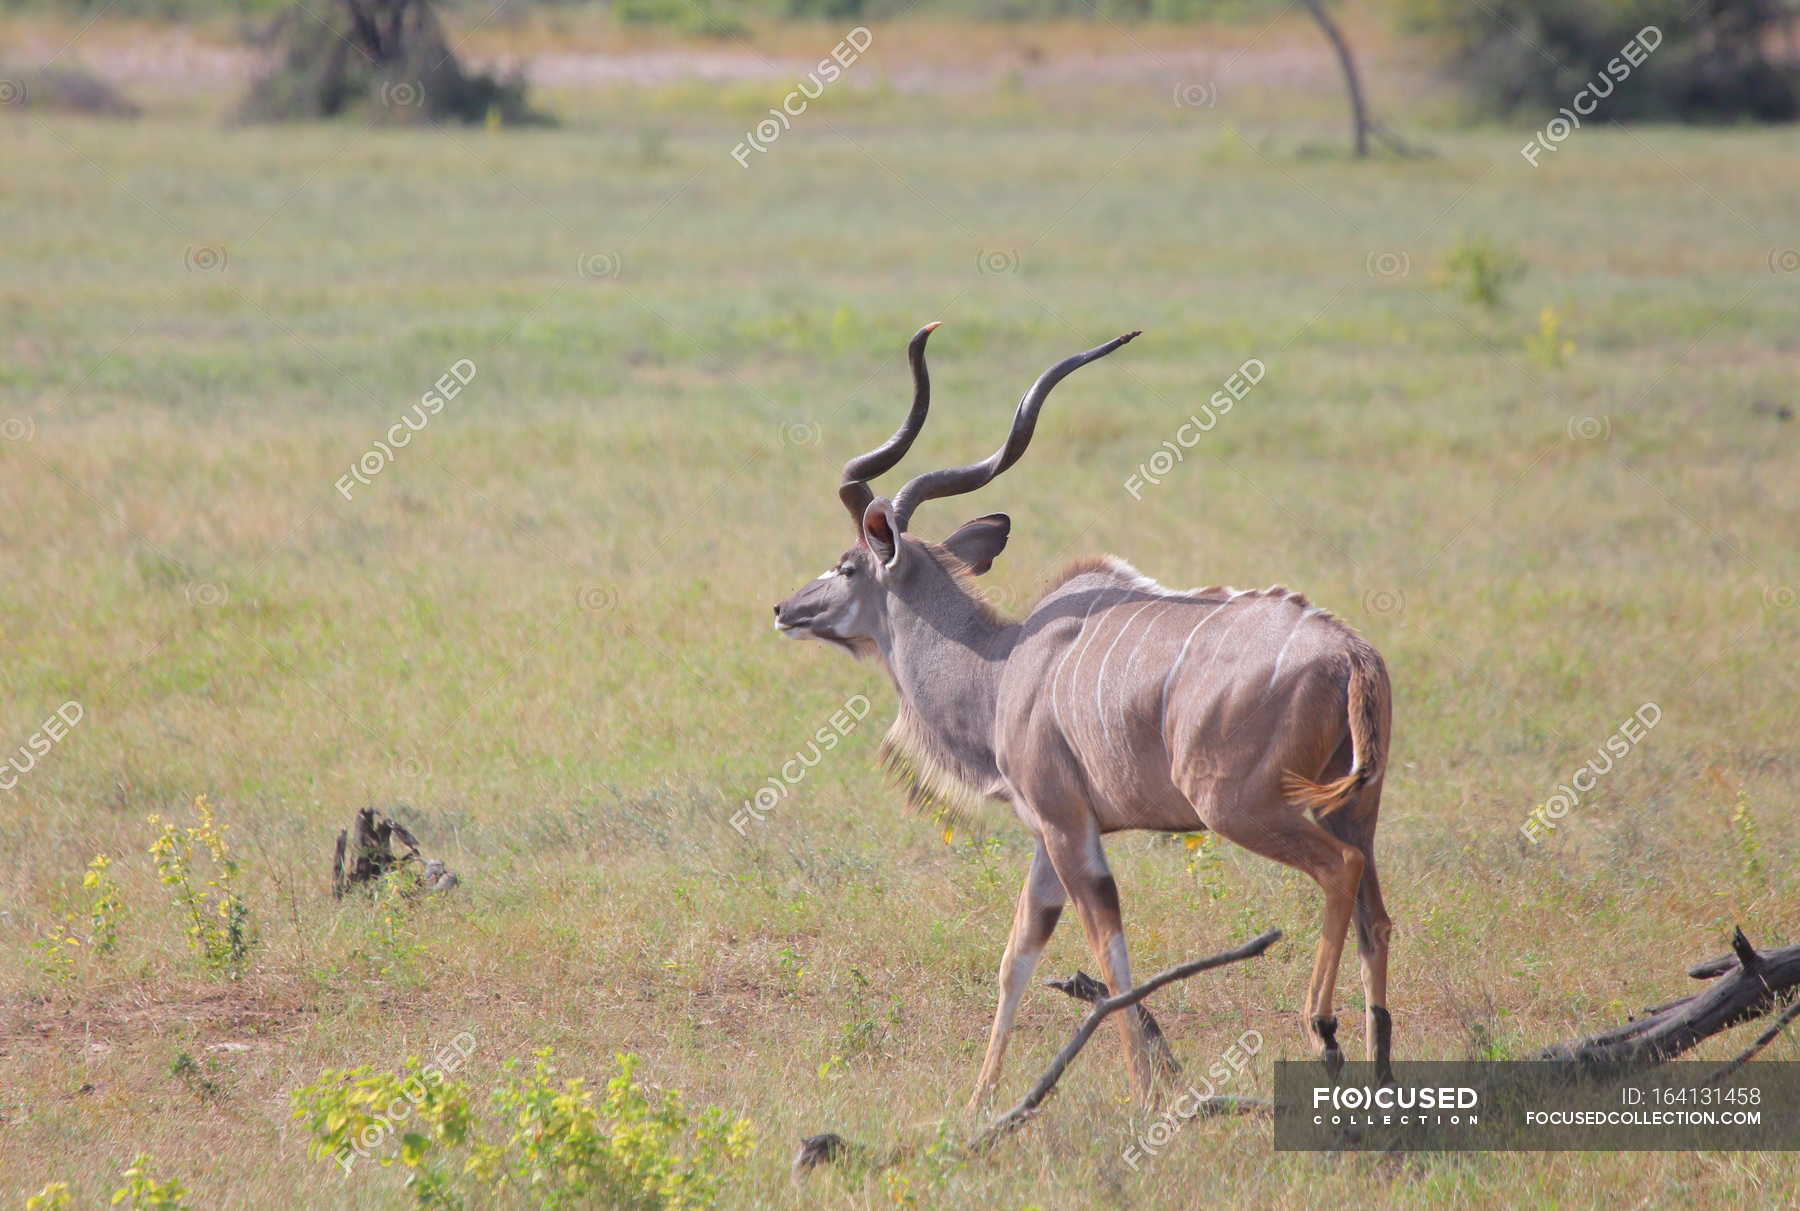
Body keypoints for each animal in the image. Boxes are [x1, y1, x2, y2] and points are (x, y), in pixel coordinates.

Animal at [774, 325, 1389, 1101]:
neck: (1002, 667)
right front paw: (980, 1101)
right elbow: (1017, 956)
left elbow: (1108, 951)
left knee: (1339, 872)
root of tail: (1350, 653)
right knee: (1377, 918)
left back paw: (1324, 1030)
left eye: (847, 564)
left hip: (1245, 809)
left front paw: (1147, 1093)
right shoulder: (1050, 833)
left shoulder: (1070, 828)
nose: (785, 608)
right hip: (1355, 807)